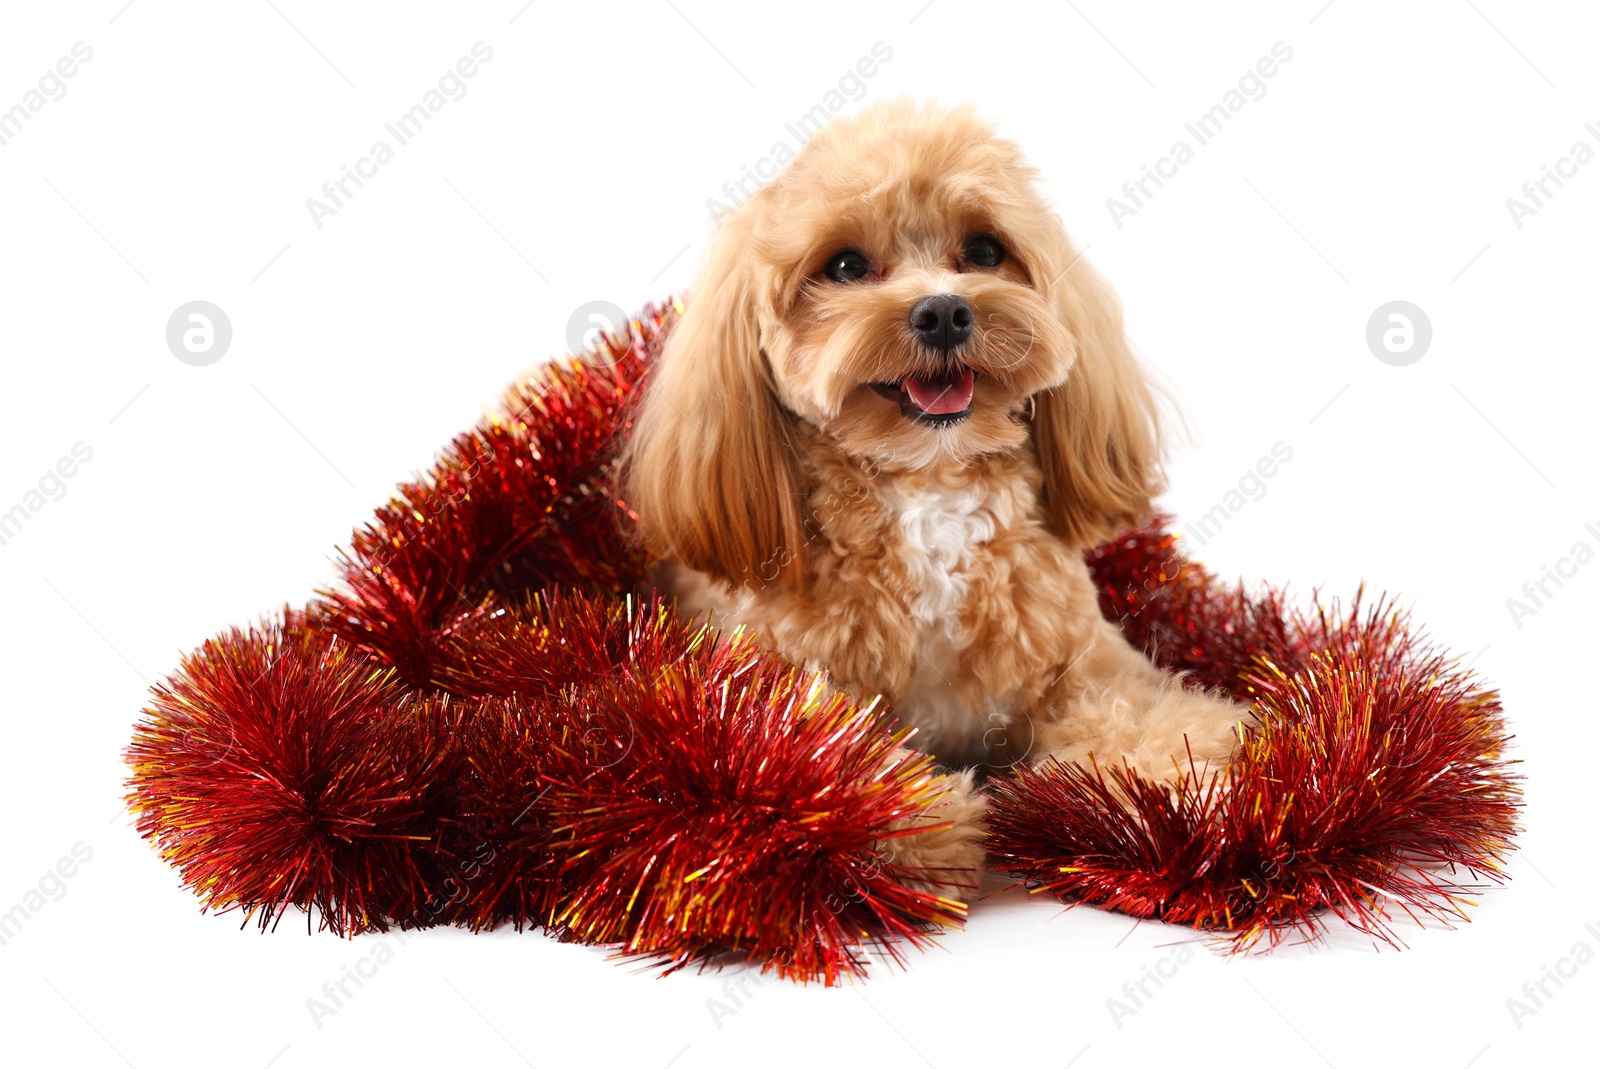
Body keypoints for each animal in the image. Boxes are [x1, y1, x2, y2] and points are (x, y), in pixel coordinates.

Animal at [624, 100, 1248, 902]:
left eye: (983, 250)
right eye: (846, 266)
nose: (944, 312)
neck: (928, 489)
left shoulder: (1085, 661)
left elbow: (1136, 712)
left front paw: (1173, 782)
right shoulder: (778, 676)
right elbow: (817, 745)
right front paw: (916, 817)